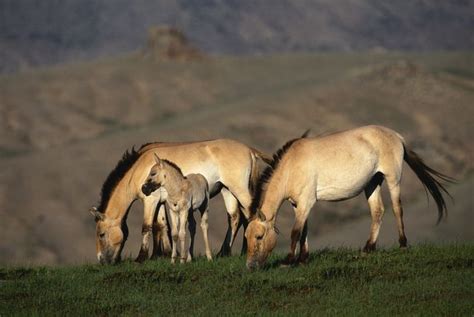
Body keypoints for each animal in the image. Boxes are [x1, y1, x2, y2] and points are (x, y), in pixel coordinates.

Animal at [89, 139, 270, 264]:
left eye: (101, 234)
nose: (101, 260)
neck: (138, 169)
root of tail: (249, 150)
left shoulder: (150, 200)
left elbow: (146, 227)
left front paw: (141, 258)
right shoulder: (161, 202)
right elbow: (161, 226)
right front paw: (162, 254)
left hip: (239, 190)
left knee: (249, 215)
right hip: (228, 191)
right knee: (235, 218)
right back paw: (224, 253)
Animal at [246, 124, 454, 268]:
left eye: (259, 236)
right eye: (246, 237)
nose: (250, 266)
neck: (292, 165)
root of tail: (396, 135)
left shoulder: (307, 202)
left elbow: (295, 232)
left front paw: (289, 261)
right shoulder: (297, 204)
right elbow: (303, 231)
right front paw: (303, 259)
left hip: (393, 179)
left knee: (397, 208)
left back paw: (402, 244)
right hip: (372, 183)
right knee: (377, 211)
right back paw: (368, 248)